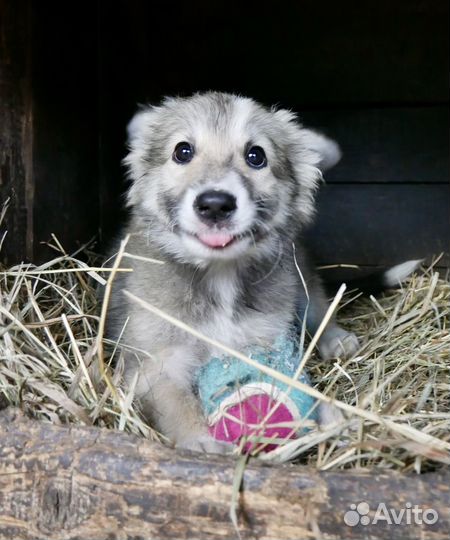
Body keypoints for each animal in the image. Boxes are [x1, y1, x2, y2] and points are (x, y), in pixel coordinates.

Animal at [105, 92, 358, 452]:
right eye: (182, 151)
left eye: (256, 155)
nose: (215, 204)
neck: (219, 275)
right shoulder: (153, 365)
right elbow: (175, 402)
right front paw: (199, 441)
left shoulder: (267, 346)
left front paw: (331, 413)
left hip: (301, 281)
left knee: (318, 308)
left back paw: (336, 339)